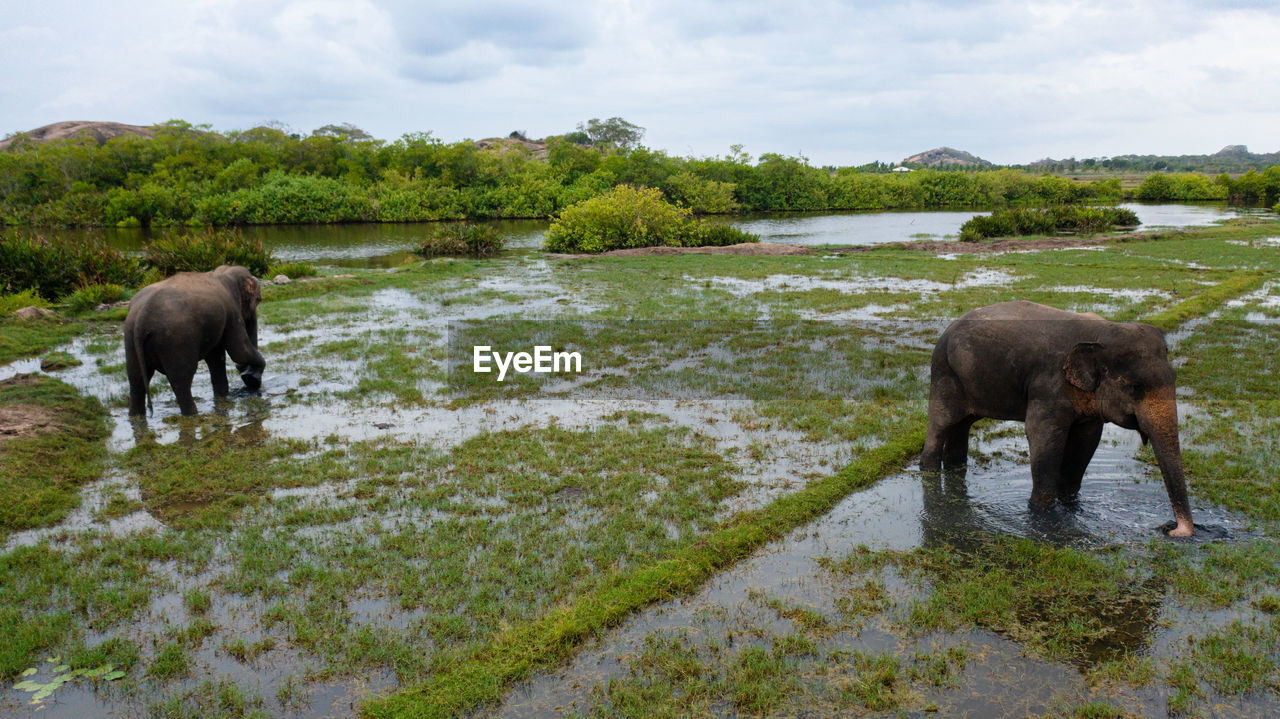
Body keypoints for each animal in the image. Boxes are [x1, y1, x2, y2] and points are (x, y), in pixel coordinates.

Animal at [123, 264, 266, 414]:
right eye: (259, 300)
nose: (244, 371)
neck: (224, 272)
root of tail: (141, 318)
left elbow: (216, 358)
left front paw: (224, 394)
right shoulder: (232, 312)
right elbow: (239, 351)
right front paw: (251, 378)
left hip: (130, 337)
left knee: (136, 379)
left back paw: (135, 416)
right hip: (176, 340)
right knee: (181, 380)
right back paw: (192, 414)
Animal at [926, 299, 1192, 534]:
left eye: (1175, 377)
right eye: (1136, 387)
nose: (1171, 529)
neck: (1103, 332)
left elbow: (1087, 440)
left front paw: (1070, 505)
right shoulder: (1048, 385)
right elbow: (1043, 435)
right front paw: (1041, 513)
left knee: (962, 424)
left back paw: (954, 470)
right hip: (943, 372)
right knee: (941, 424)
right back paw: (929, 472)